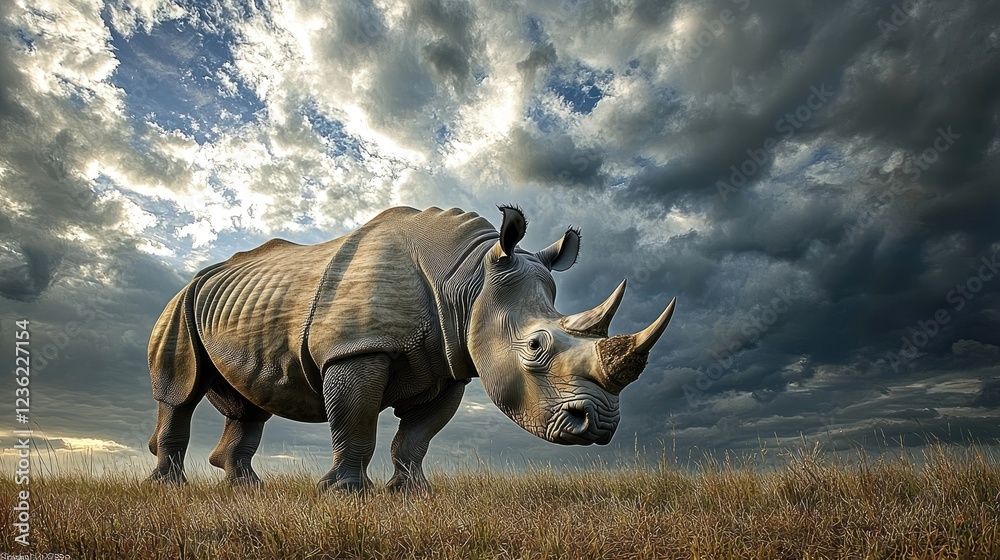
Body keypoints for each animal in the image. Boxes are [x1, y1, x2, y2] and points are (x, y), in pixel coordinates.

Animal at [147, 205, 676, 492]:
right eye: (536, 345)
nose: (600, 426)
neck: (469, 280)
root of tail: (198, 277)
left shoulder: (450, 365)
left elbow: (417, 437)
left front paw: (410, 492)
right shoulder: (357, 348)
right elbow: (356, 421)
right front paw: (344, 494)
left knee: (250, 406)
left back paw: (246, 488)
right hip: (178, 305)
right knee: (180, 393)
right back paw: (169, 488)